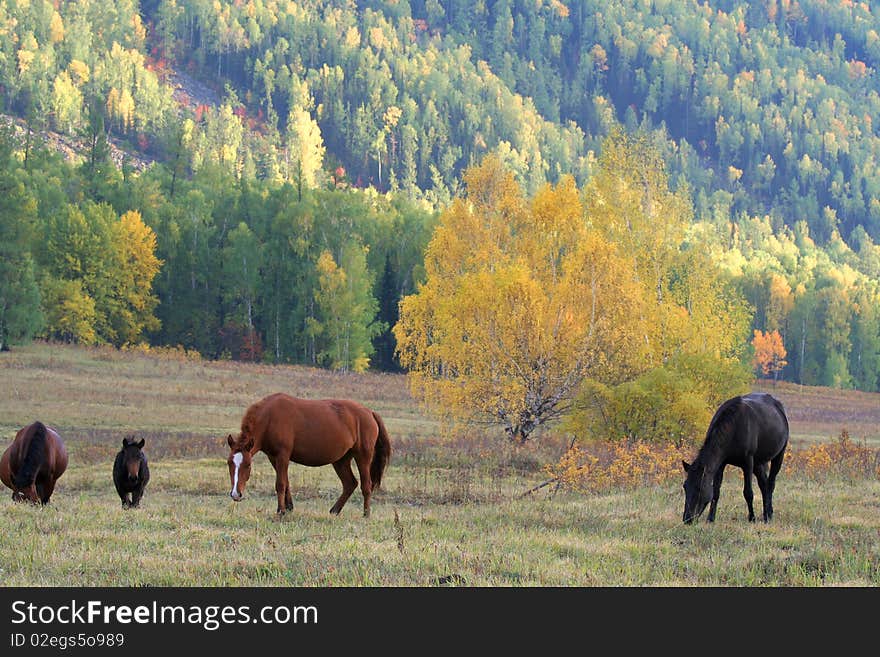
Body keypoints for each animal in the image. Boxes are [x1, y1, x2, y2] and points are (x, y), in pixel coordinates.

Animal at [227, 392, 392, 516]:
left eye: (248, 465)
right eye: (229, 463)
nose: (236, 494)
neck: (269, 418)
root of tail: (369, 412)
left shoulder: (283, 455)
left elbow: (280, 483)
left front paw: (281, 511)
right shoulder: (273, 457)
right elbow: (286, 482)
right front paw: (288, 507)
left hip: (362, 457)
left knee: (366, 486)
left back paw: (366, 514)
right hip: (341, 460)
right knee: (350, 484)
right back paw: (334, 510)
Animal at [680, 392, 792, 524]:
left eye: (699, 487)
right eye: (685, 486)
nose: (687, 519)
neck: (734, 427)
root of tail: (778, 406)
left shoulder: (748, 463)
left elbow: (748, 492)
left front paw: (752, 518)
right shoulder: (721, 464)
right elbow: (716, 492)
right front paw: (711, 518)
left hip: (778, 456)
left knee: (770, 484)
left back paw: (768, 515)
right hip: (759, 463)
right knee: (763, 485)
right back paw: (766, 513)